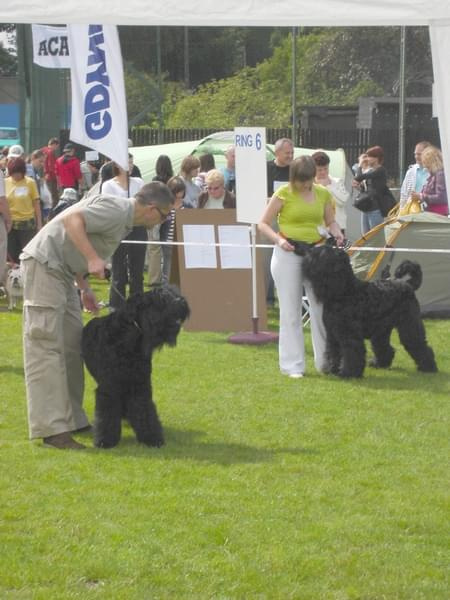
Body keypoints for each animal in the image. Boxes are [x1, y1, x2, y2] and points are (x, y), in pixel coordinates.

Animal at [81, 288, 189, 450]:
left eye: (173, 292)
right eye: (160, 299)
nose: (181, 301)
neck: (129, 338)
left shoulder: (140, 384)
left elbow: (144, 410)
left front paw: (152, 438)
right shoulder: (110, 387)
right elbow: (107, 414)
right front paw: (105, 440)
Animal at [300, 245, 438, 378]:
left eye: (321, 254)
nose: (305, 254)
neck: (345, 291)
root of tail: (408, 285)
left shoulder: (349, 334)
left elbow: (352, 352)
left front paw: (348, 373)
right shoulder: (332, 334)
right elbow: (333, 352)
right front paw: (331, 369)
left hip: (409, 326)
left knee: (419, 345)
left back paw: (428, 368)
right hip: (381, 331)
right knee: (385, 348)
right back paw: (379, 364)